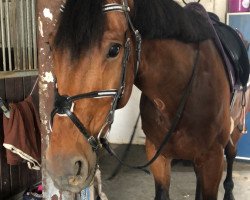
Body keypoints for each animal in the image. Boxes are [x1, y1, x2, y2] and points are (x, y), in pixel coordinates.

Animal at [46, 0, 249, 198]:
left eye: (114, 49)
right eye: (51, 46)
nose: (61, 166)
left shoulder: (213, 160)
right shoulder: (157, 155)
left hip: (236, 128)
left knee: (232, 154)